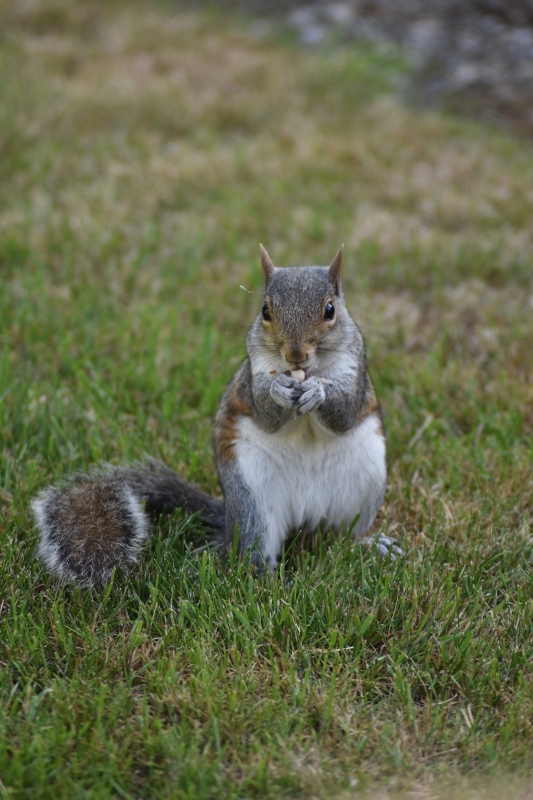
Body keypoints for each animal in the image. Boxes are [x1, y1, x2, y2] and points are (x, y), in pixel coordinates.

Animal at [31, 245, 396, 588]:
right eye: (265, 310)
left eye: (330, 309)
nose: (295, 354)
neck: (307, 371)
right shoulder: (253, 374)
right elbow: (264, 410)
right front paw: (277, 390)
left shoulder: (354, 370)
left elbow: (345, 411)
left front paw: (319, 391)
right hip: (252, 494)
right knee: (252, 551)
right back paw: (269, 579)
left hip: (363, 486)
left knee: (341, 538)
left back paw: (368, 545)